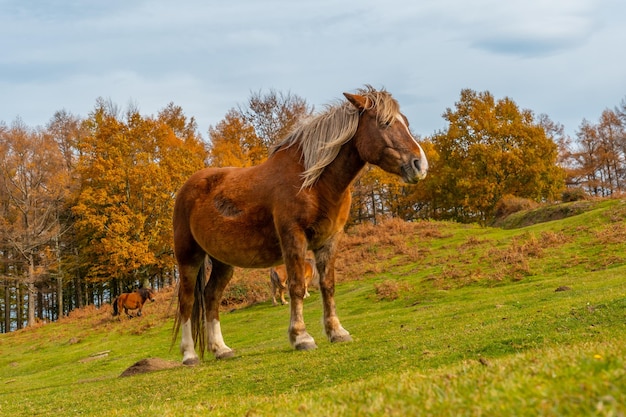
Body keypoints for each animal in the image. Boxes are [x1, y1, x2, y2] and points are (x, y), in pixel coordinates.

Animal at [174, 85, 428, 364]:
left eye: (406, 122)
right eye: (385, 123)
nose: (419, 165)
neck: (314, 183)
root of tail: (187, 188)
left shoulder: (330, 240)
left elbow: (327, 285)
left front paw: (337, 332)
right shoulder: (293, 238)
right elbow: (296, 287)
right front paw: (301, 337)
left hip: (222, 262)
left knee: (211, 297)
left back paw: (221, 349)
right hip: (188, 256)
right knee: (187, 300)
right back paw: (189, 355)